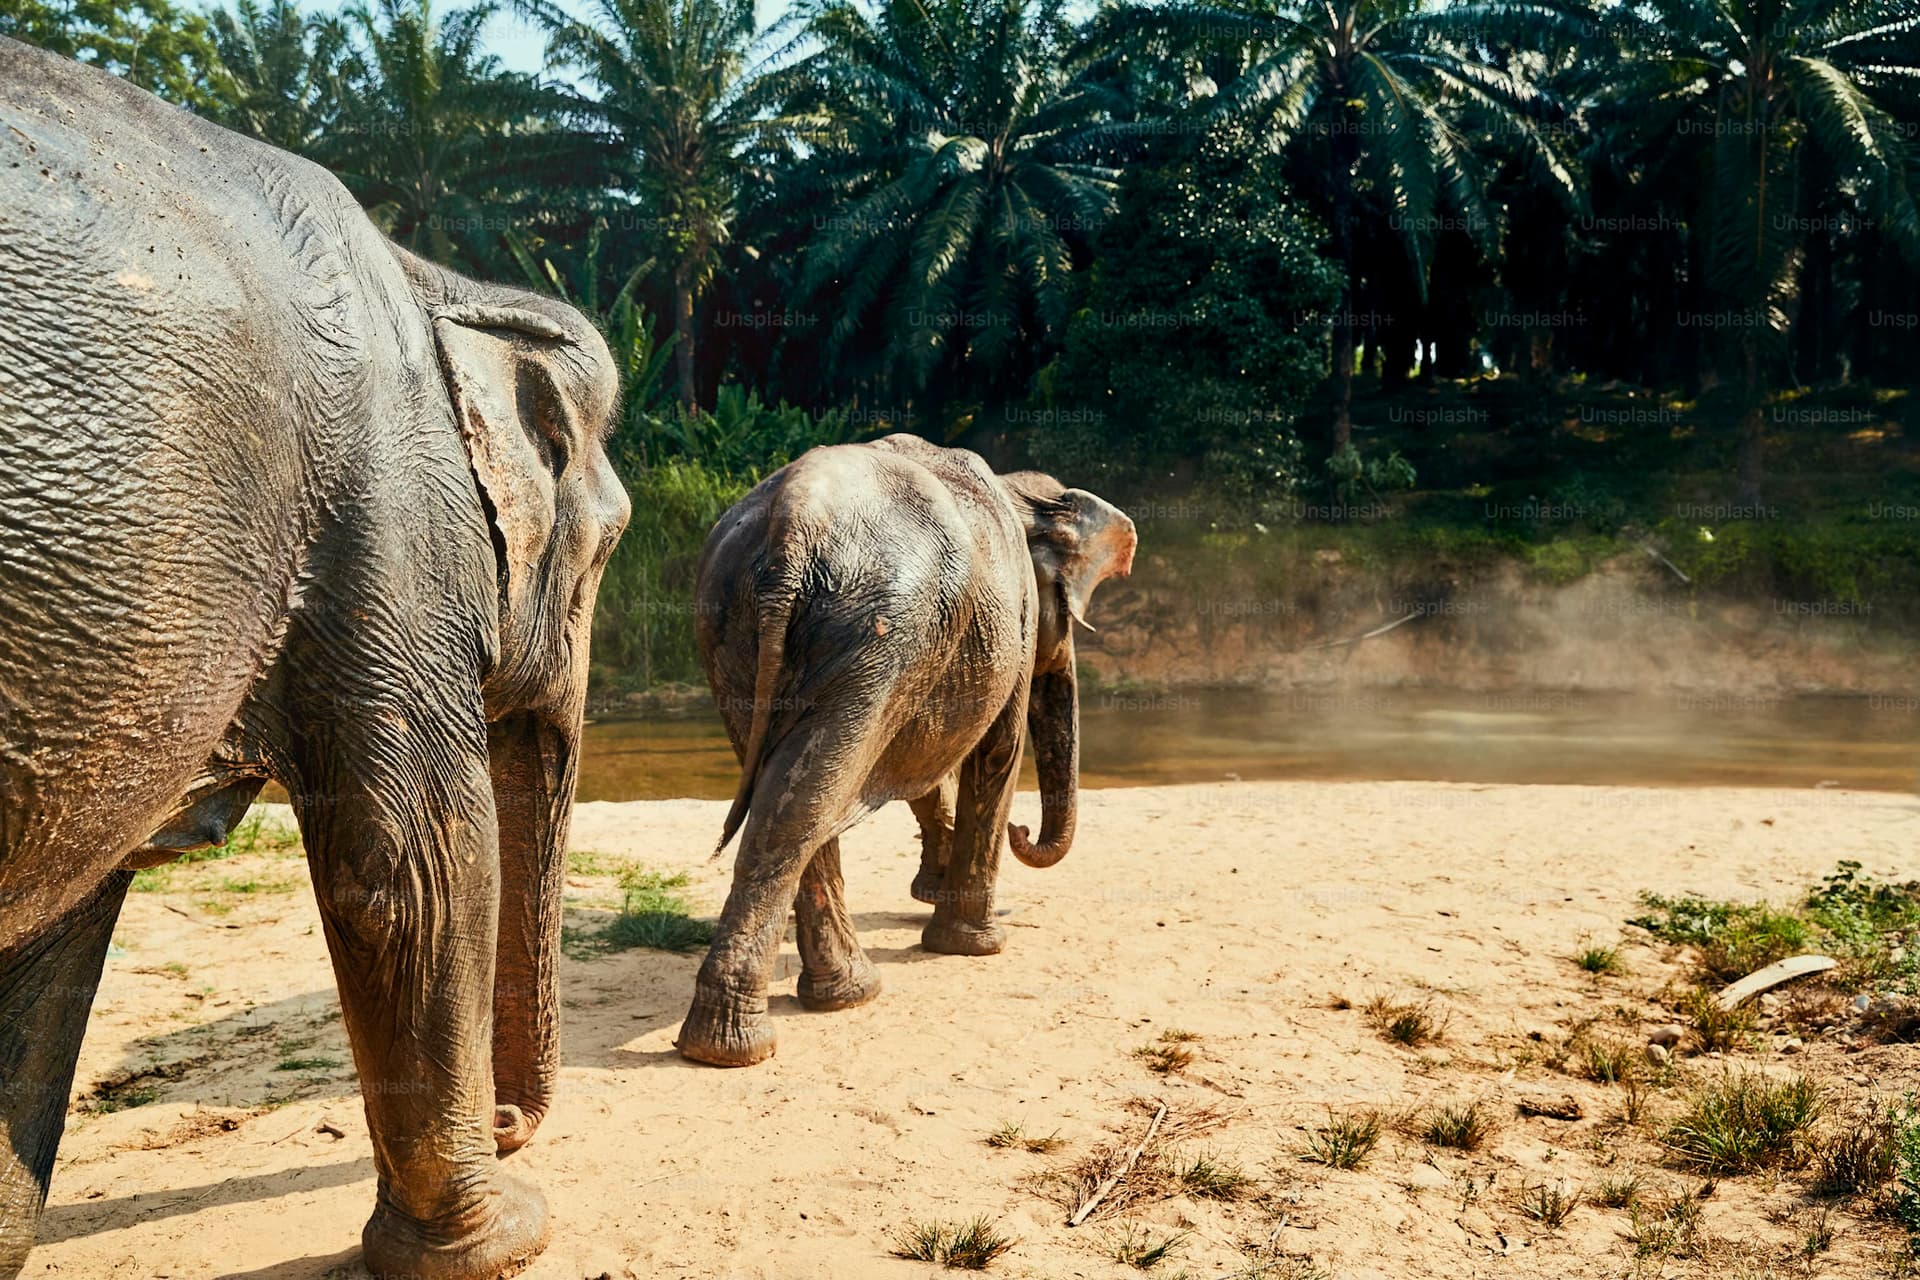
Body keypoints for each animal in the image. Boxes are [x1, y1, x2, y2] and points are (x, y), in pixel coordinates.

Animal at [0, 39, 628, 1280]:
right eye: (612, 545)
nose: (507, 1119)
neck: (438, 278)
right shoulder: (384, 519)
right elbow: (416, 867)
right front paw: (505, 1238)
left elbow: (52, 947)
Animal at [678, 434, 1136, 1067]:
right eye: (1066, 614)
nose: (1023, 832)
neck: (1024, 495)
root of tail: (794, 520)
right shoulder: (1011, 630)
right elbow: (995, 752)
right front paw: (976, 946)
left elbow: (927, 762)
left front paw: (933, 892)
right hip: (875, 632)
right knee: (805, 807)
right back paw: (743, 1043)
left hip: (735, 628)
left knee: (796, 796)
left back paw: (835, 999)